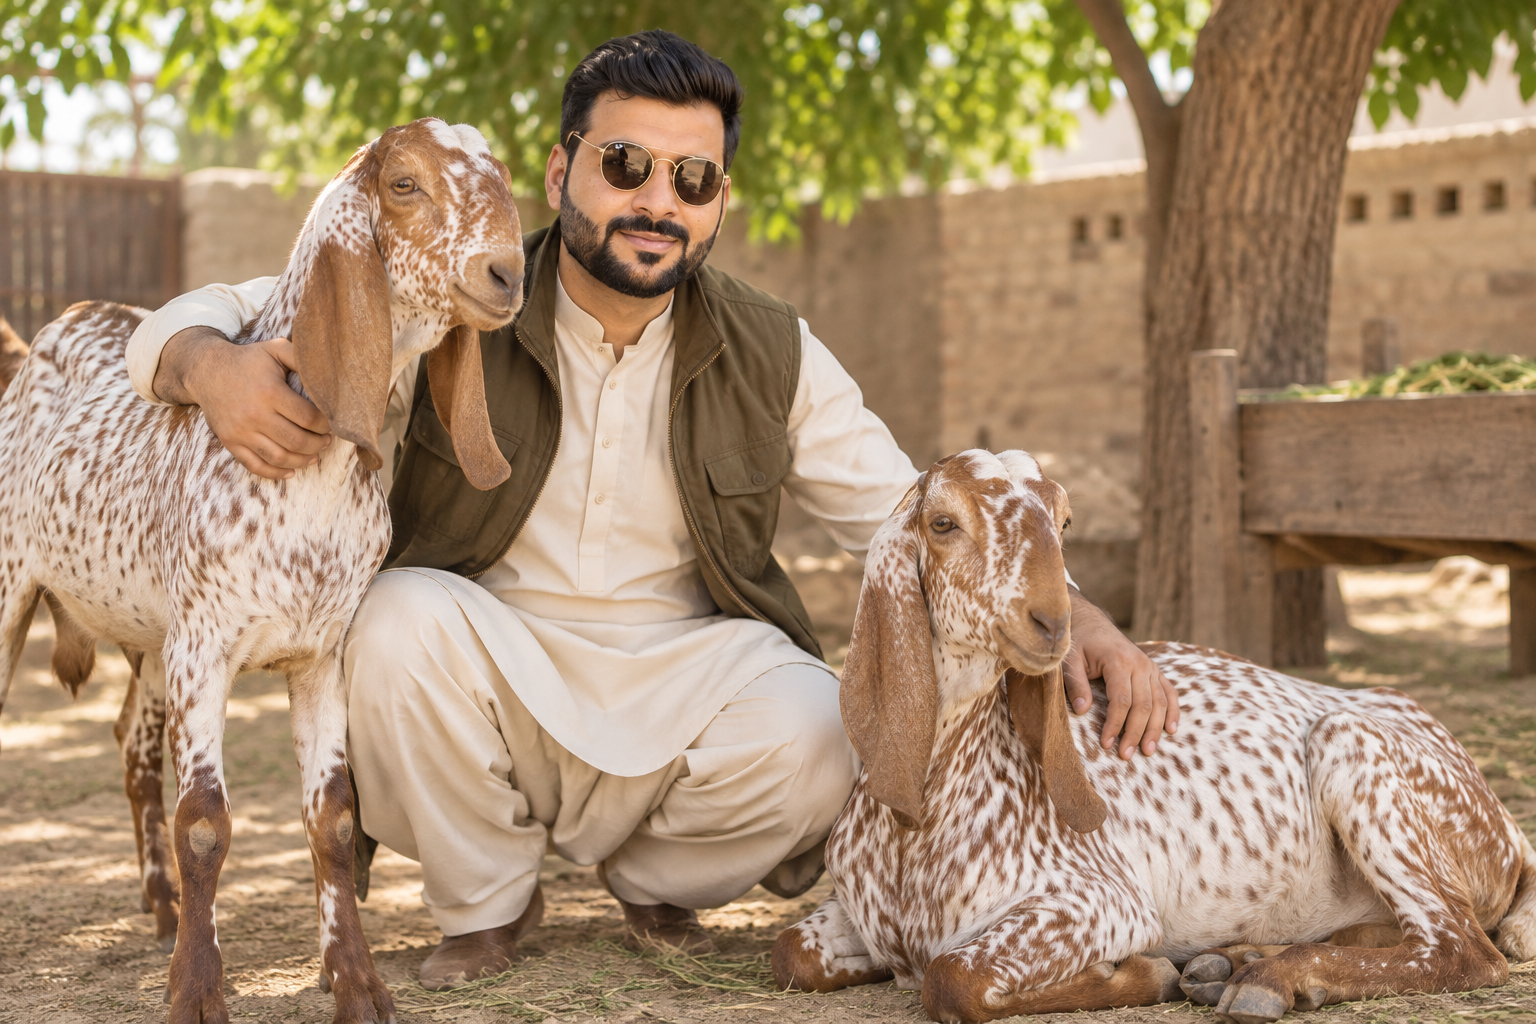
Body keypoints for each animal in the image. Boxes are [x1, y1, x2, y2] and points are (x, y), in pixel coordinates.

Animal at [0, 117, 523, 1024]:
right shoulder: (204, 650)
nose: (507, 272)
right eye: (404, 184)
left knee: (132, 749)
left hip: (150, 643)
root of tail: (60, 327)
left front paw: (356, 983)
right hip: (16, 591)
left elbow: (334, 820)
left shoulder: (318, 655)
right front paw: (196, 991)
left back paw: (162, 906)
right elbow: (205, 822)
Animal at [772, 450, 1536, 1024]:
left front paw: (1144, 974)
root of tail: (1508, 827)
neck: (928, 809)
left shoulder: (1100, 902)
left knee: (1462, 948)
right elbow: (792, 953)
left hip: (1351, 746)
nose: (1052, 622)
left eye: (1064, 521)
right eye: (943, 522)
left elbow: (950, 977)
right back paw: (1236, 960)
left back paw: (1271, 979)